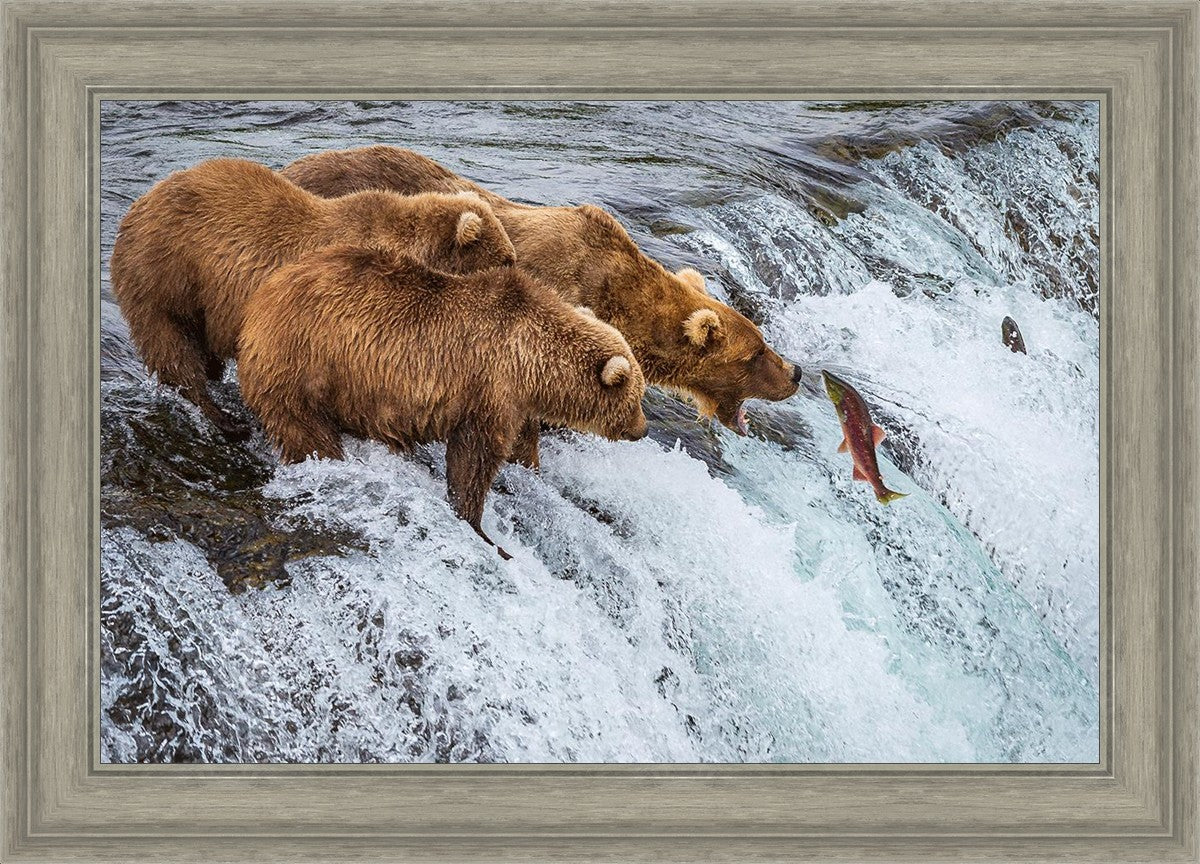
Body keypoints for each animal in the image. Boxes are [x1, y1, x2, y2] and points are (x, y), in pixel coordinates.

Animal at [109, 157, 516, 439]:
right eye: (506, 259)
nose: (518, 275)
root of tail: (138, 205)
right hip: (166, 275)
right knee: (173, 348)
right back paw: (224, 419)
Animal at [237, 244, 648, 559]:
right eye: (637, 397)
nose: (643, 430)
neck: (532, 361)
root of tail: (260, 300)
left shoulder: (516, 402)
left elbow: (520, 446)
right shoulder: (489, 387)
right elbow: (474, 459)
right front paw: (482, 530)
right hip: (304, 364)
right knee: (306, 431)